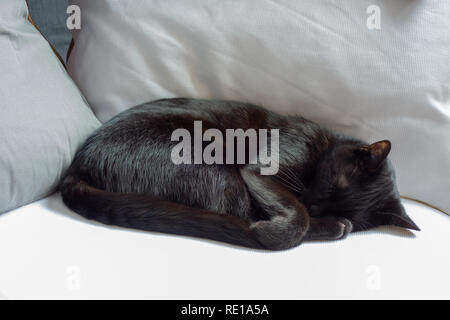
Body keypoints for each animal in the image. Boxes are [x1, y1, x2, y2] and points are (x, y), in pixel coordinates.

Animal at [59, 97, 418, 250]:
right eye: (330, 186)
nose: (317, 207)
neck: (323, 144)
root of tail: (79, 162)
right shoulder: (259, 171)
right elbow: (296, 215)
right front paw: (288, 227)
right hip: (214, 166)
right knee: (242, 217)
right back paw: (330, 228)